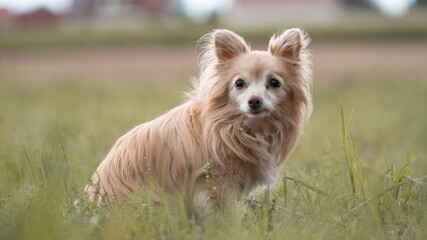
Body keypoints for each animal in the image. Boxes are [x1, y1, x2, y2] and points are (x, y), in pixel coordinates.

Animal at [85, 28, 312, 218]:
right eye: (239, 83)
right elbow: (228, 216)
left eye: (274, 83)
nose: (254, 100)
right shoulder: (217, 183)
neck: (246, 128)